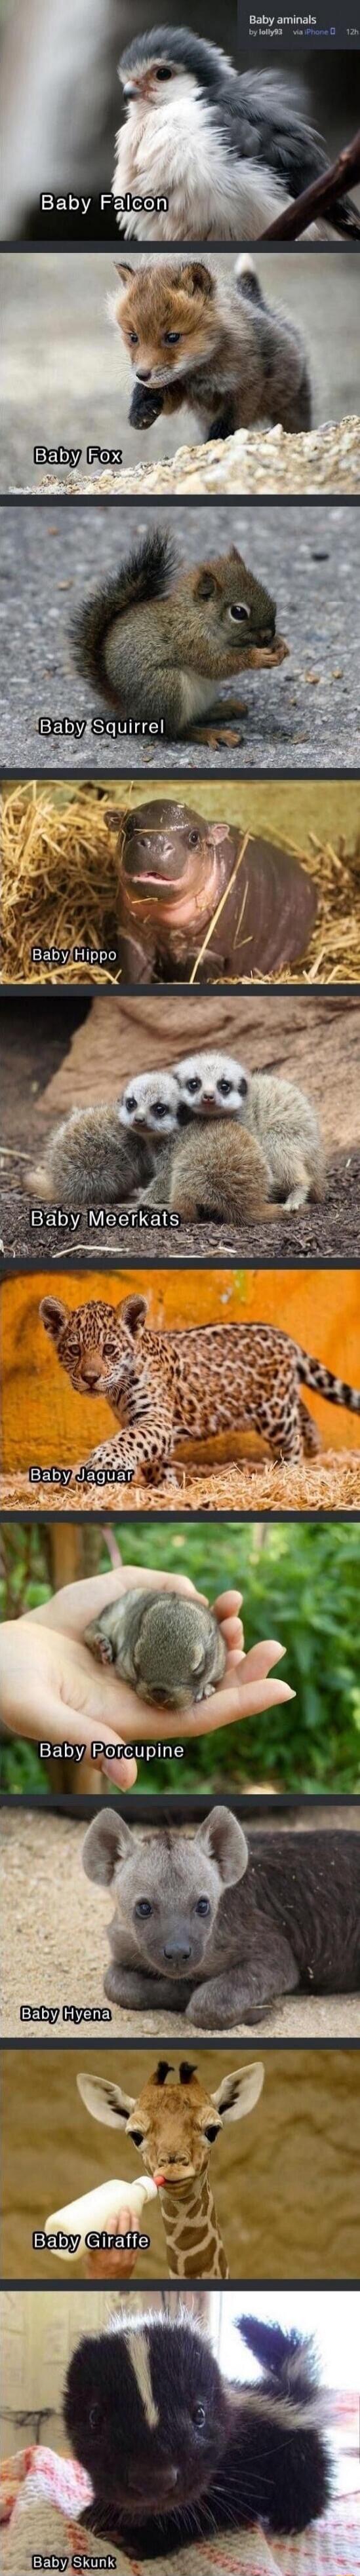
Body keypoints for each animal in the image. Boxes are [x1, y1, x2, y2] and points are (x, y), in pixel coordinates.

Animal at [71, 527, 288, 739]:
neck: (197, 615)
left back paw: (225, 708)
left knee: (198, 715)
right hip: (166, 687)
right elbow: (215, 665)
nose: (269, 634)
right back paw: (210, 735)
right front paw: (257, 657)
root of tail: (132, 712)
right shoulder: (189, 640)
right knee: (177, 730)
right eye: (238, 612)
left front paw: (280, 646)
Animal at [112, 252, 312, 442]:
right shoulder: (179, 389)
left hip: (290, 407)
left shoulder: (248, 387)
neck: (201, 372)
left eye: (172, 337)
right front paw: (141, 410)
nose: (142, 375)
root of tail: (259, 304)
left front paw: (217, 438)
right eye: (134, 337)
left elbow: (229, 421)